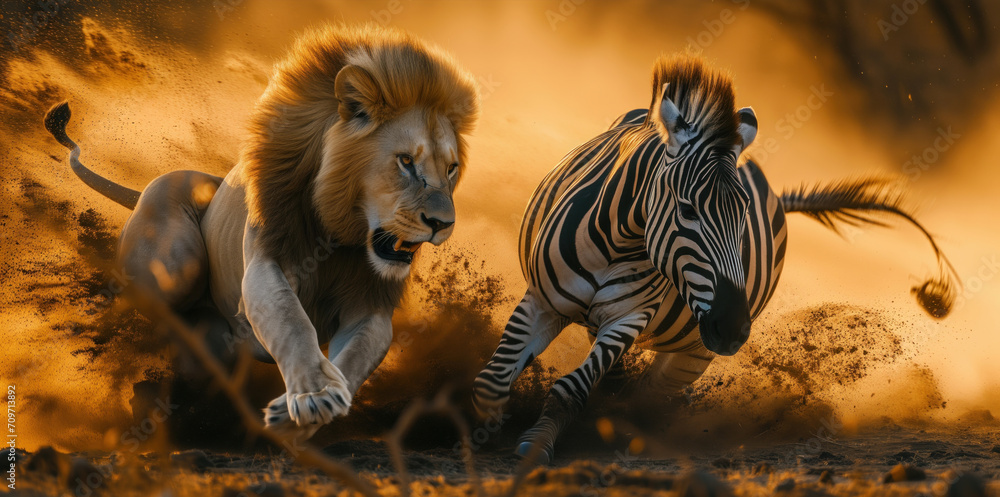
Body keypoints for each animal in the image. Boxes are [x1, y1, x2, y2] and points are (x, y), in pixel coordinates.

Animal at [43, 24, 479, 439]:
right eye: (405, 161)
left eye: (451, 168)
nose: (443, 224)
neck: (343, 234)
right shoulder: (267, 262)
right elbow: (291, 321)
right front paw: (316, 394)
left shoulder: (371, 307)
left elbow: (354, 359)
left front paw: (297, 411)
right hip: (176, 257)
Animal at [472, 55, 957, 464]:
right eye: (687, 210)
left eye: (742, 216)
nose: (733, 327)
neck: (617, 243)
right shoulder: (542, 299)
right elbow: (494, 377)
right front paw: (484, 429)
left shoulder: (627, 319)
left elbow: (572, 387)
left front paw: (536, 444)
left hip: (690, 356)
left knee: (647, 394)